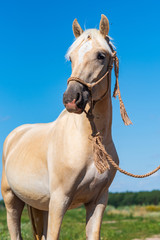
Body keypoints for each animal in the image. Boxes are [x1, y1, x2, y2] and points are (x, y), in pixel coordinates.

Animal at [1, 15, 131, 240]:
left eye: (101, 55)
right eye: (71, 58)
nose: (71, 98)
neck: (88, 143)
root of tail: (15, 135)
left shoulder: (98, 201)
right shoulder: (59, 200)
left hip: (40, 206)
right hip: (12, 201)